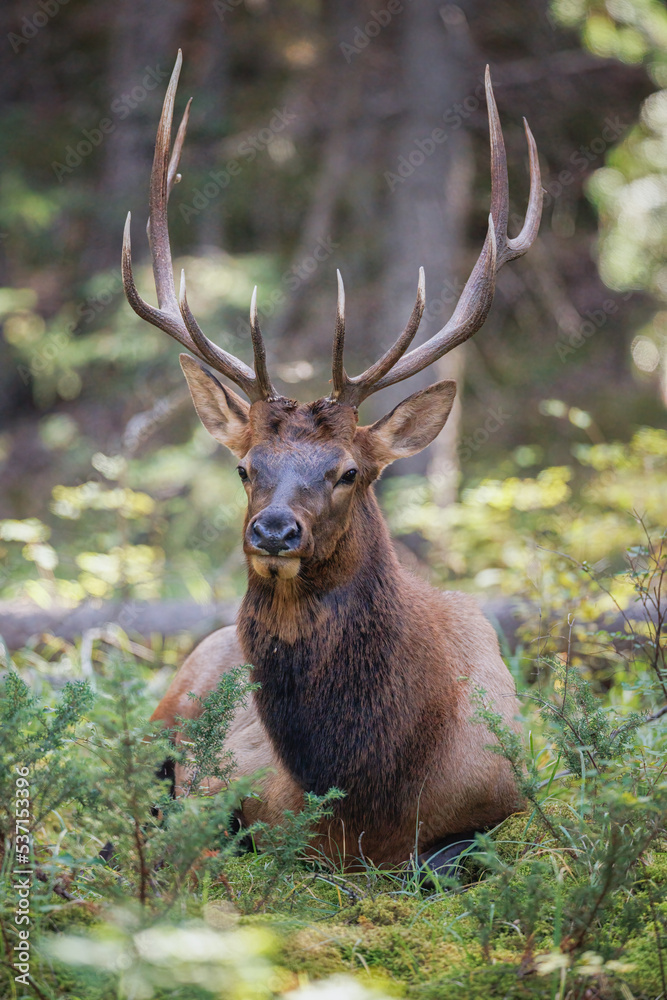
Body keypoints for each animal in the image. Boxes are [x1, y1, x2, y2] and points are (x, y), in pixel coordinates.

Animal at [121, 51, 542, 876]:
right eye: (244, 467)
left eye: (349, 471)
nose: (274, 532)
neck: (369, 796)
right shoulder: (226, 791)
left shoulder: (501, 800)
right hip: (166, 704)